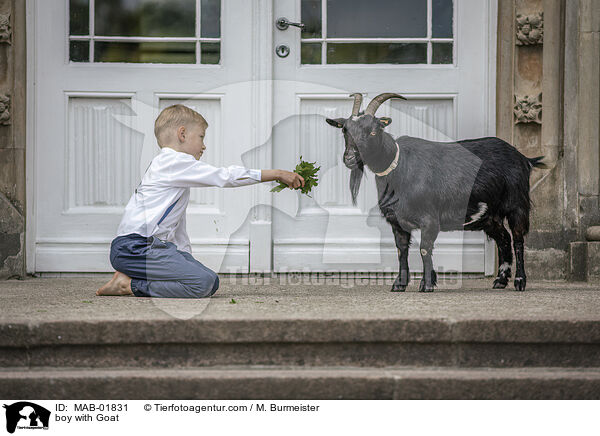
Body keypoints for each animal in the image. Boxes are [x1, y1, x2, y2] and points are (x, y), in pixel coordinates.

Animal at [326, 93, 548, 294]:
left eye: (373, 131)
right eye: (345, 130)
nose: (350, 159)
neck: (399, 166)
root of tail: (524, 158)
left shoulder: (429, 218)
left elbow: (424, 249)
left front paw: (426, 285)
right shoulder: (397, 222)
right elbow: (401, 251)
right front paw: (399, 284)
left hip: (517, 204)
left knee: (518, 240)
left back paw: (520, 282)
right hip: (489, 215)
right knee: (503, 239)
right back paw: (500, 281)